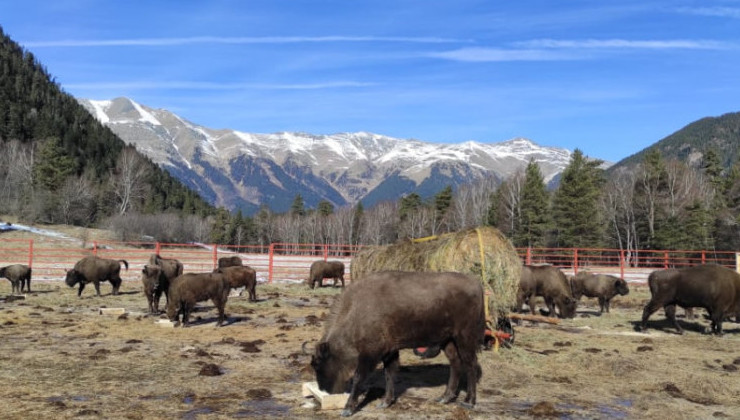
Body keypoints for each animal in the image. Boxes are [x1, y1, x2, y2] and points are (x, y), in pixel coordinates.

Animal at [308, 270, 486, 416]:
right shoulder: (389, 351)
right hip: (447, 341)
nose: (324, 389)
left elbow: (359, 377)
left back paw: (469, 401)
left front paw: (348, 409)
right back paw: (445, 398)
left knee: (470, 364)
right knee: (455, 364)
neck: (358, 309)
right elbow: (389, 374)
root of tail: (476, 283)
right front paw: (385, 402)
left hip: (464, 338)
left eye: (318, 363)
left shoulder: (370, 354)